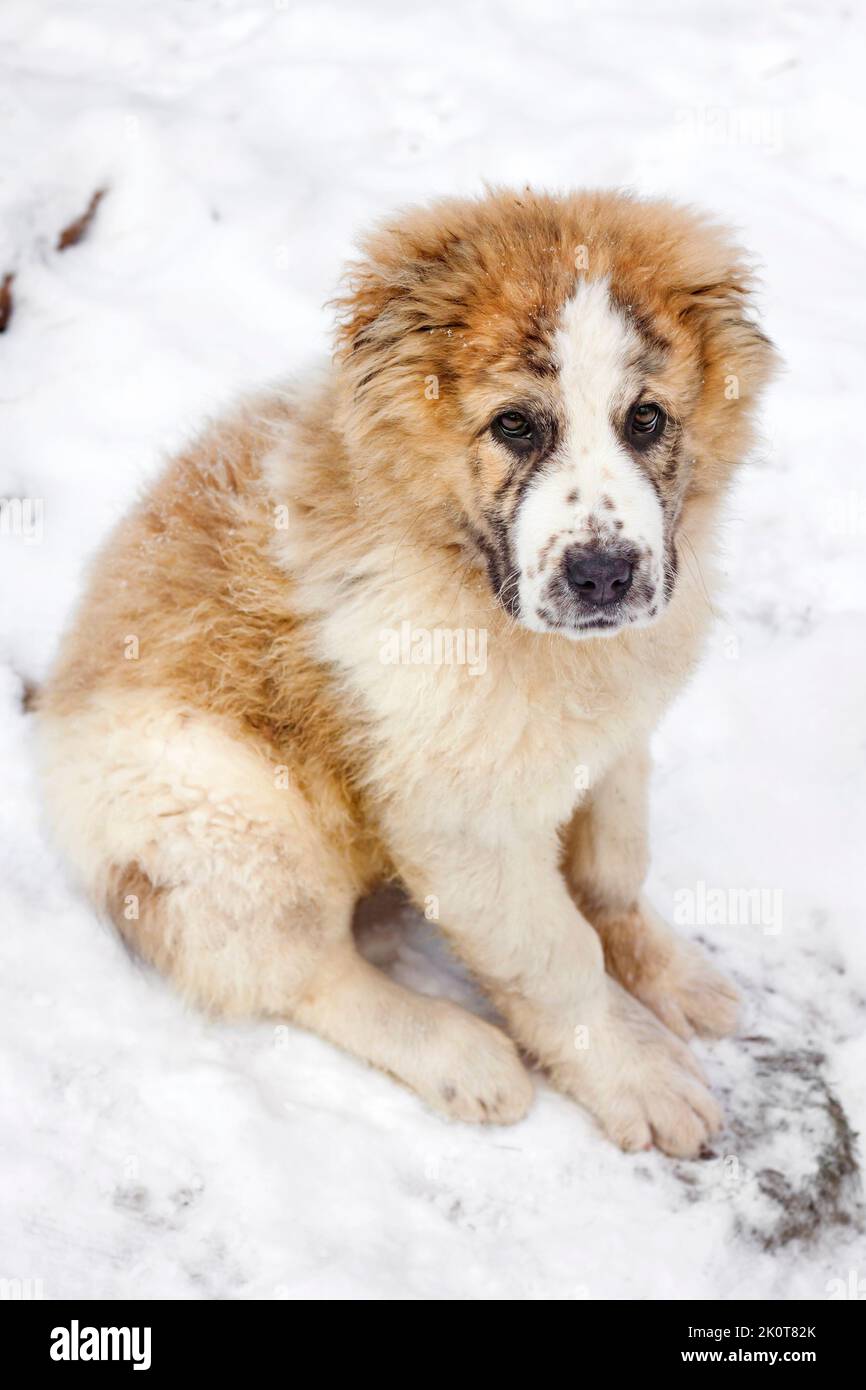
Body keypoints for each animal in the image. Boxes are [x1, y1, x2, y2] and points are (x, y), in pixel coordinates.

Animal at [37, 190, 778, 1156]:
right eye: (515, 426)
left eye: (646, 419)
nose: (604, 574)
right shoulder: (459, 819)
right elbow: (555, 956)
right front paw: (637, 1073)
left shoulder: (618, 743)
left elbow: (613, 872)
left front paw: (668, 973)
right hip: (230, 821)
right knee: (300, 974)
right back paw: (460, 1056)